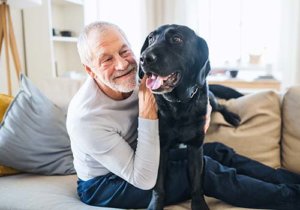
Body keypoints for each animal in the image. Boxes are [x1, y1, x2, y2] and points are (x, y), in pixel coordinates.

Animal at [139, 25, 241, 210]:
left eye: (177, 39)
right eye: (150, 39)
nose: (144, 58)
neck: (179, 104)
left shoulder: (195, 147)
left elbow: (196, 183)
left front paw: (199, 204)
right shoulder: (160, 147)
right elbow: (158, 185)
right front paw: (155, 205)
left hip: (211, 100)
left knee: (221, 106)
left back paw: (232, 117)